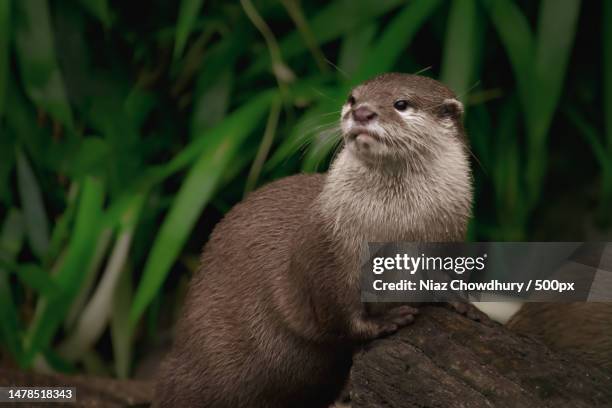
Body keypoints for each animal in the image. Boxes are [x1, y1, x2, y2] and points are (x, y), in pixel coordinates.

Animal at [154, 74, 474, 408]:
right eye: (353, 97)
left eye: (401, 103)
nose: (362, 112)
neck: (397, 229)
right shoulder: (325, 254)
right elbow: (340, 316)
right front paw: (387, 321)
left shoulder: (448, 238)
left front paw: (461, 302)